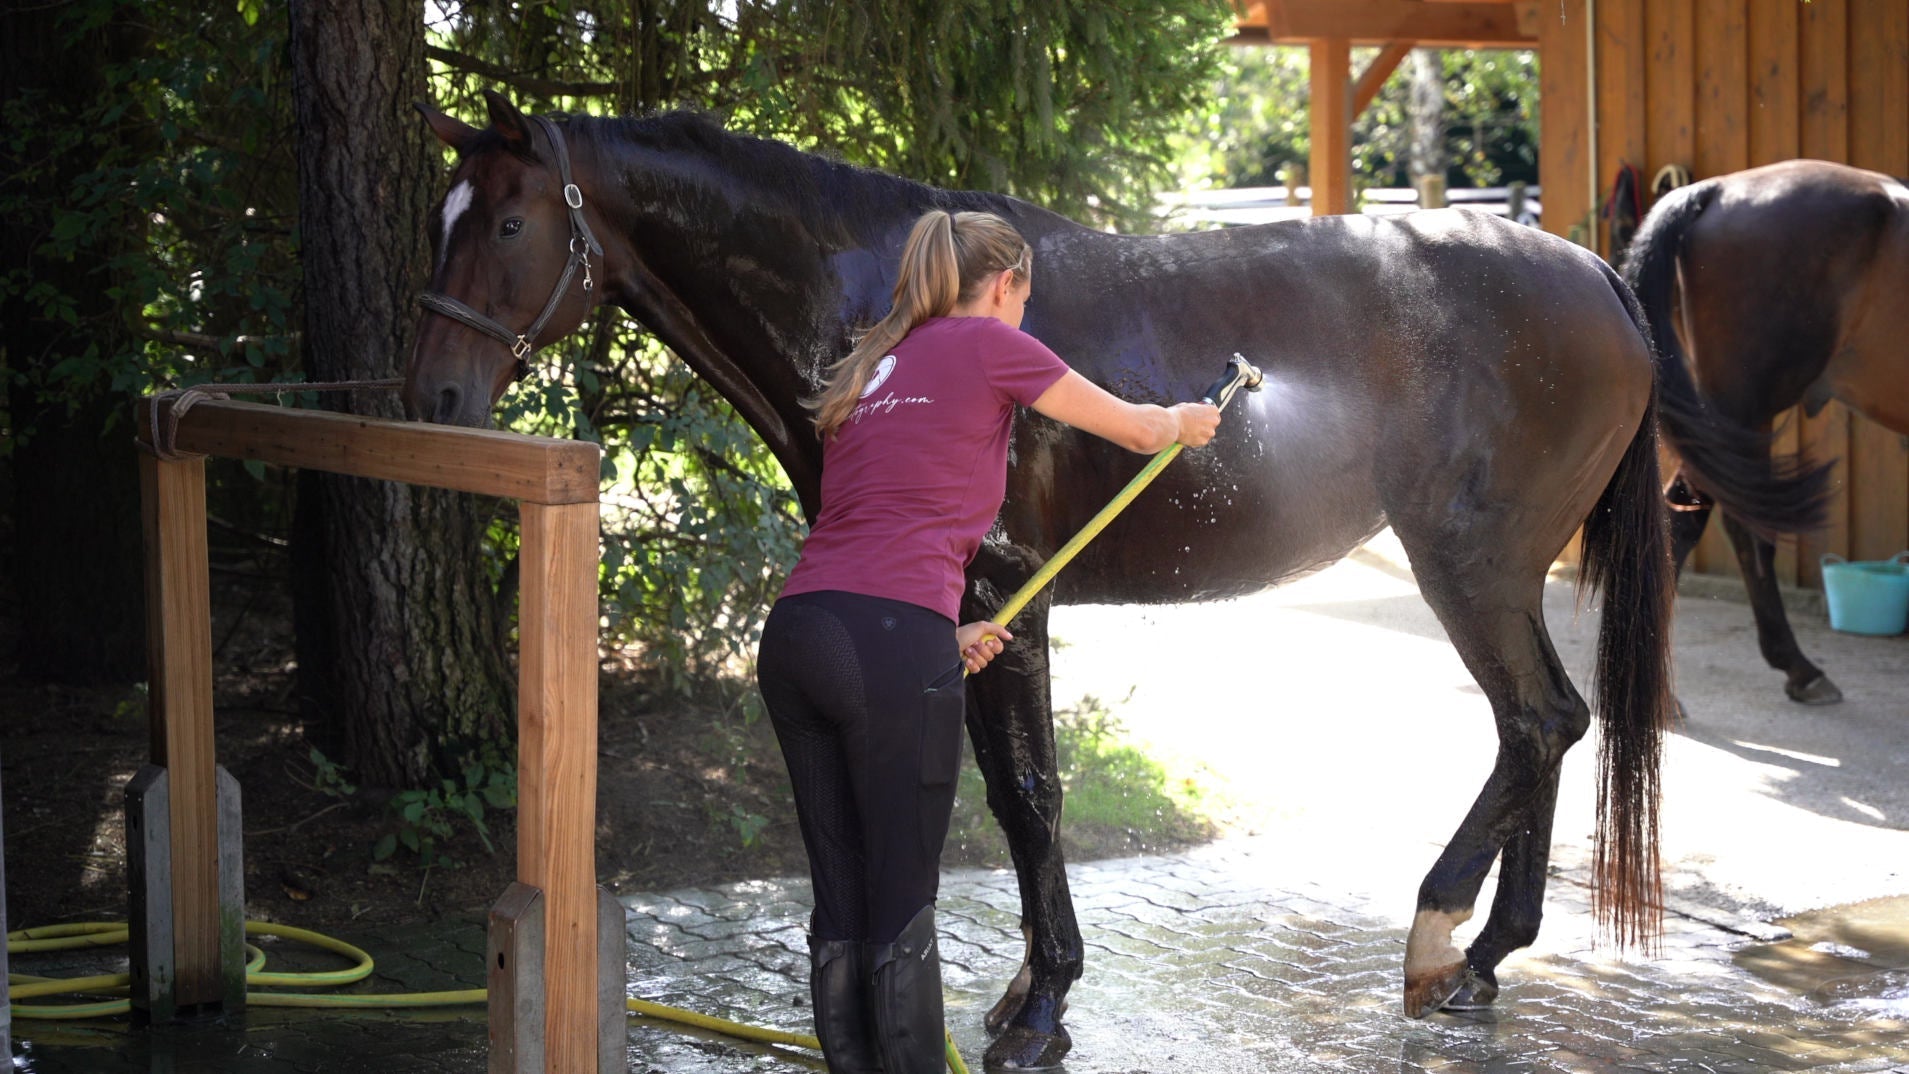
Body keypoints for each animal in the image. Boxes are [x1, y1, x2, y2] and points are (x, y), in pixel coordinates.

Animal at [398, 94, 1802, 1068]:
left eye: (511, 222)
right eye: (443, 220)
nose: (432, 402)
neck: (883, 296)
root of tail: (1599, 277)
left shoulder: (1000, 599)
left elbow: (1027, 797)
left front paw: (1041, 1010)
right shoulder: (962, 619)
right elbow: (1006, 796)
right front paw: (1029, 991)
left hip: (1473, 564)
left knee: (1537, 722)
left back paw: (1435, 934)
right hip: (1494, 572)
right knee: (1541, 726)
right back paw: (1483, 961)